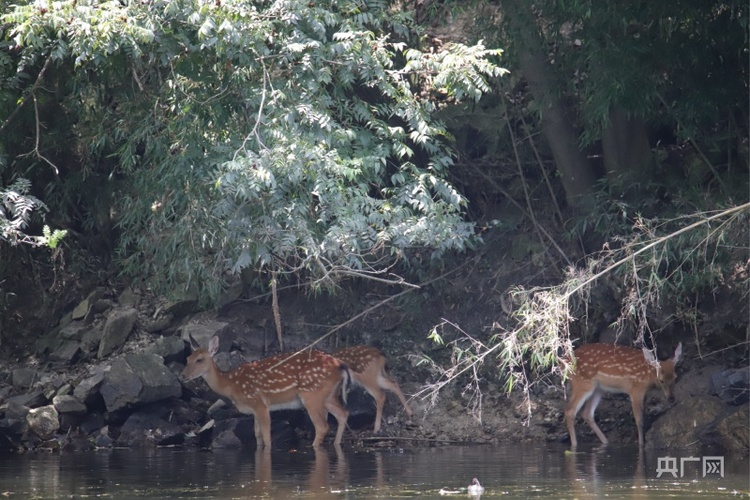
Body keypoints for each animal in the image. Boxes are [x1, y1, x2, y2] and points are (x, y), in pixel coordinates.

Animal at [181, 335, 351, 450]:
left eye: (200, 360)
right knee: (343, 414)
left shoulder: (259, 403)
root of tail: (340, 365)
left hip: (311, 394)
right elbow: (257, 435)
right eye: (187, 358)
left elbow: (267, 436)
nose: (182, 376)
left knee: (322, 426)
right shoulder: (254, 410)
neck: (231, 385)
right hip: (328, 396)